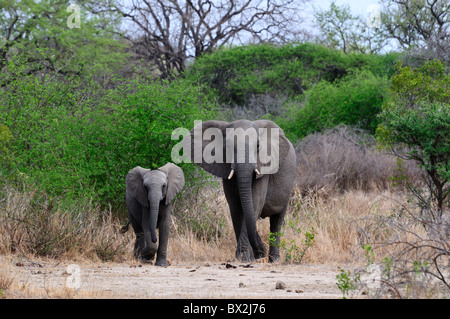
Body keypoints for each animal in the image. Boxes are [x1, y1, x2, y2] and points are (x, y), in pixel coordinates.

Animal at [185, 120, 296, 262]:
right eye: (226, 147)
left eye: (258, 146)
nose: (260, 253)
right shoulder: (225, 171)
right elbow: (236, 209)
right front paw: (245, 258)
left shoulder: (263, 170)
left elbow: (254, 203)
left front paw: (244, 259)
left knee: (277, 221)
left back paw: (274, 260)